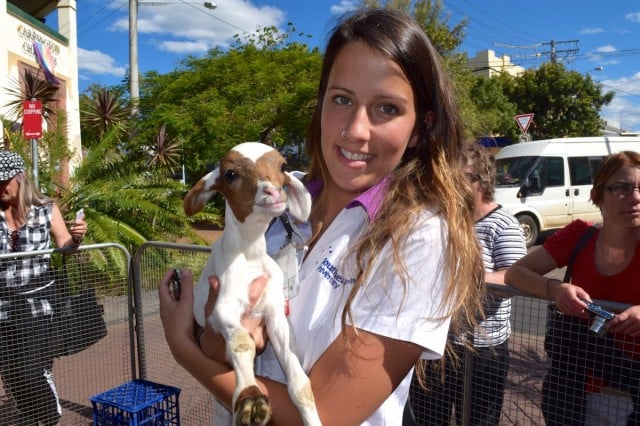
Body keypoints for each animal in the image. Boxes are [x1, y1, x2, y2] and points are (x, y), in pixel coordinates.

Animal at [182, 142, 320, 426]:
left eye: (283, 166)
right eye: (230, 173)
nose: (273, 192)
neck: (249, 259)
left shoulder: (275, 312)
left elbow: (299, 381)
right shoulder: (222, 307)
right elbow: (242, 341)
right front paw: (250, 397)